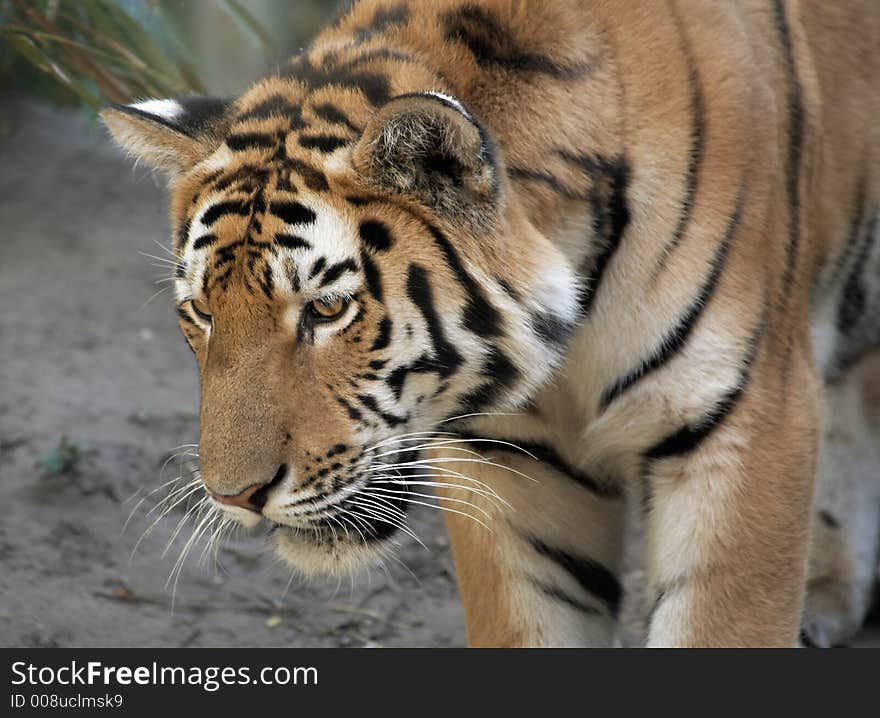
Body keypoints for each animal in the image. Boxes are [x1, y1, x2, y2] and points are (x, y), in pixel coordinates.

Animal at [103, 0, 880, 652]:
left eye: (325, 309)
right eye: (203, 312)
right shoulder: (509, 459)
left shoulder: (741, 426)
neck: (570, 337)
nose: (236, 497)